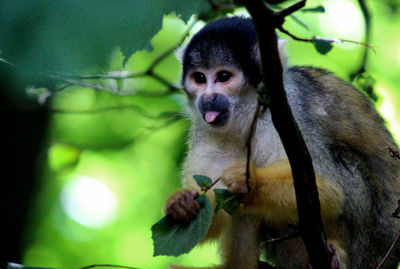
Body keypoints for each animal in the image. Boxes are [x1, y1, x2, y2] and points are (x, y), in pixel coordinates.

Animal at [163, 16, 400, 268]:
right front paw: (180, 204)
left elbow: (328, 190)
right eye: (199, 78)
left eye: (223, 77)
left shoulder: (291, 112)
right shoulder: (205, 131)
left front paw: (250, 182)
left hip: (369, 247)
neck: (248, 116)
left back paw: (337, 257)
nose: (208, 99)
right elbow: (213, 213)